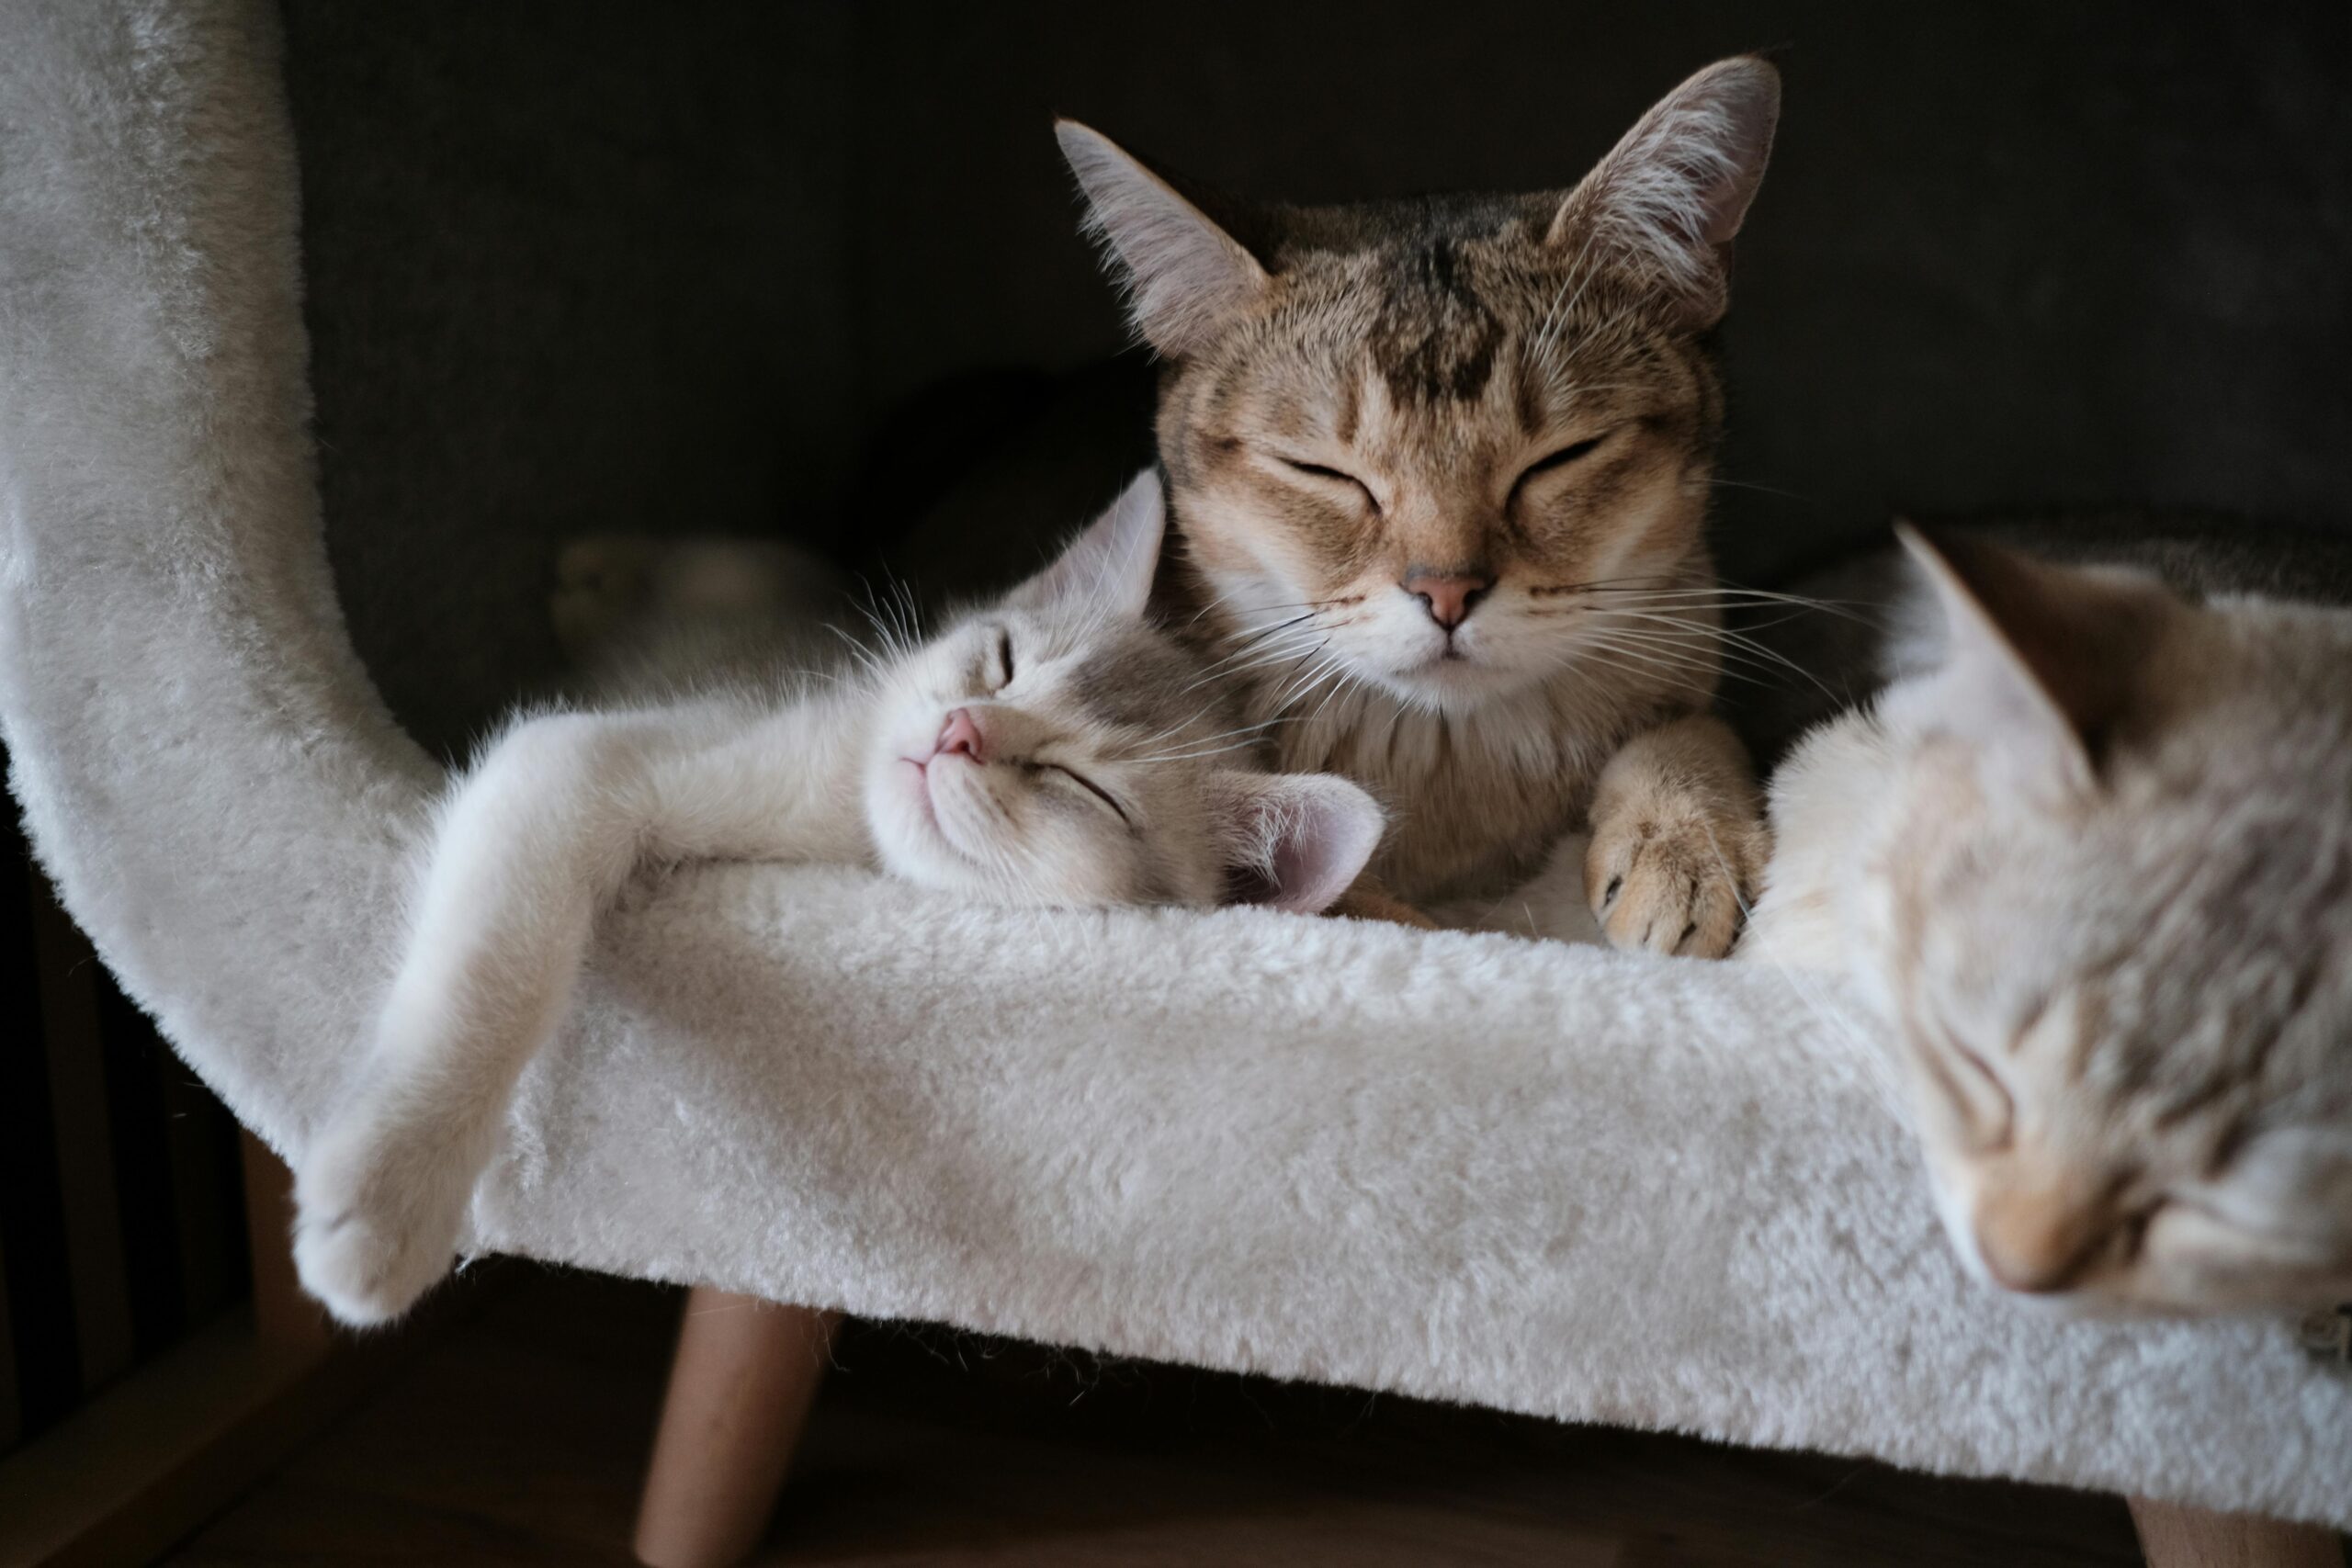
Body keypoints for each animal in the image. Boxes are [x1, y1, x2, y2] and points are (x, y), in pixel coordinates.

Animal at [294, 474, 1392, 1325]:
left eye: (1084, 788)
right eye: (1002, 663)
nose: (959, 730)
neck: (842, 837)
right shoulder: (588, 761)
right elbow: (497, 968)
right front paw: (390, 1197)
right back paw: (595, 570)